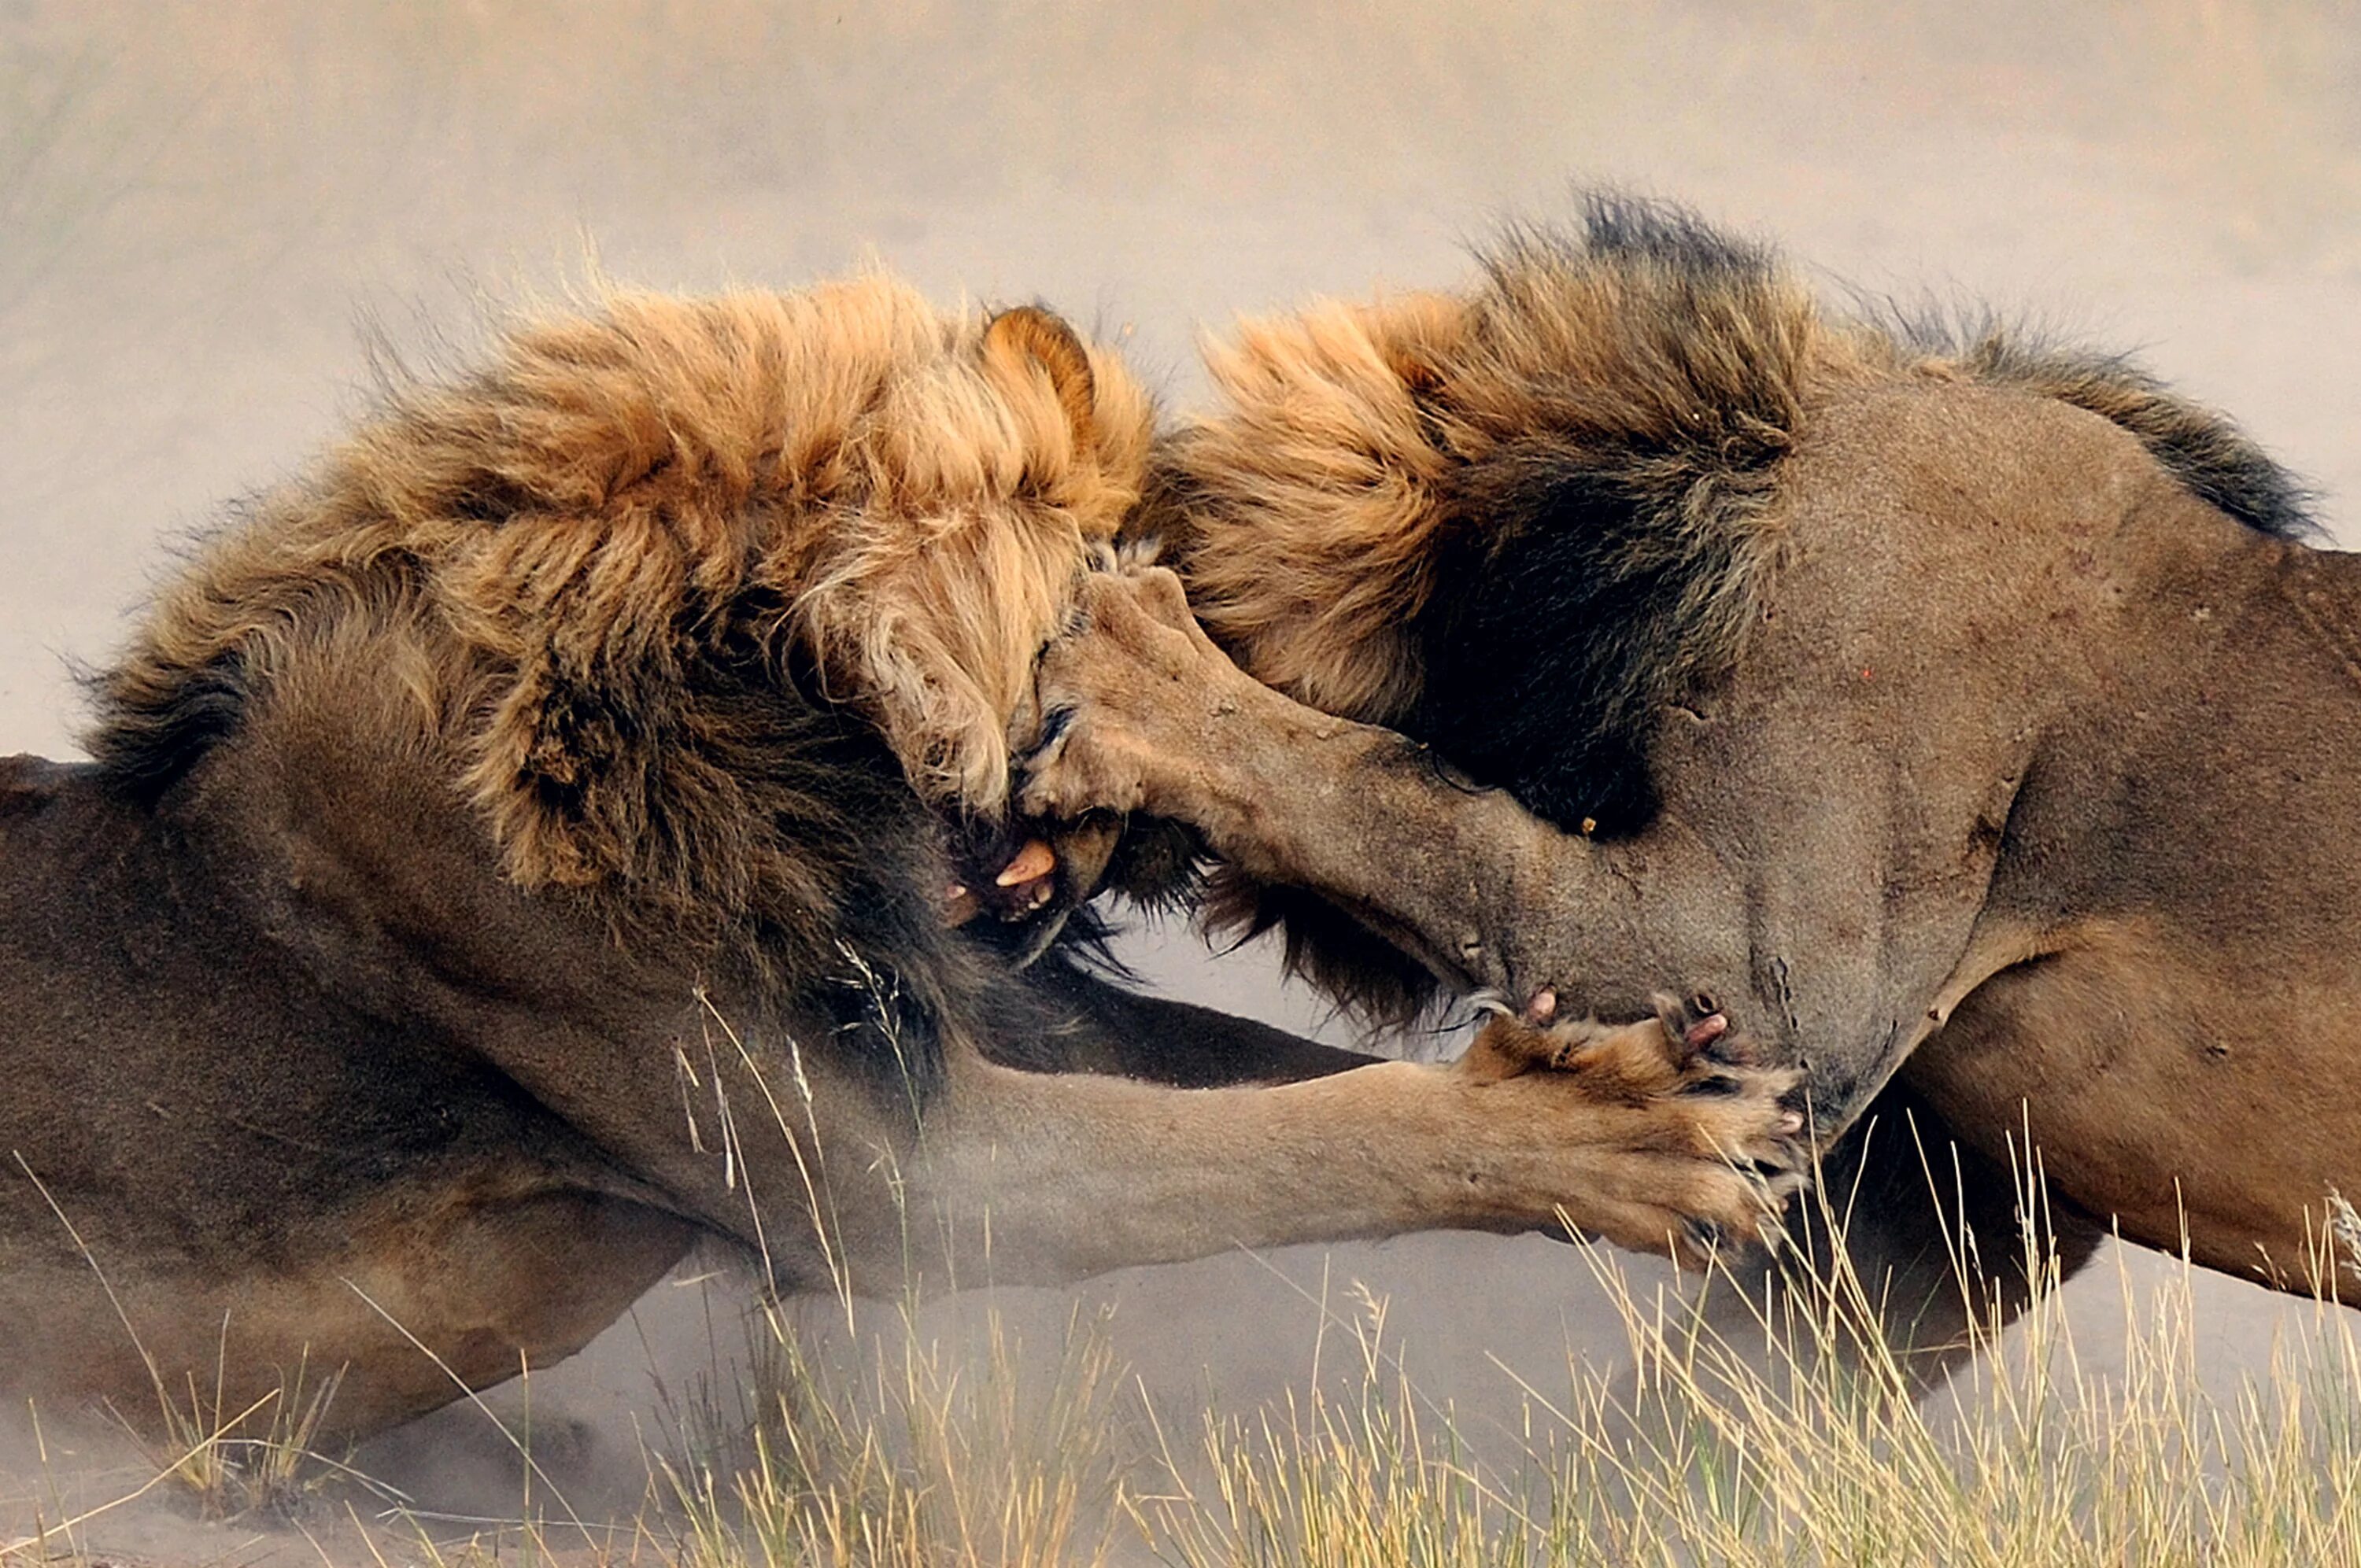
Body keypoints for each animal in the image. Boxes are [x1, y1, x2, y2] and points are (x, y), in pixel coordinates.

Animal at [4, 267, 1804, 1444]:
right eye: (1127, 597)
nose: (1154, 843)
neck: (754, 695)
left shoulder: (954, 1009)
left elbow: (1264, 1074)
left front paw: (1613, 1069)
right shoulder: (881, 1172)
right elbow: (1280, 1146)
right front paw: (1627, 1133)